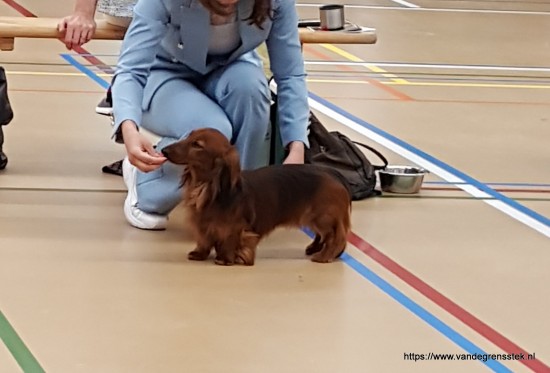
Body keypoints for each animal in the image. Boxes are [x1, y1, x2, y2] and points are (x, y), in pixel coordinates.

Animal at [163, 128, 354, 264]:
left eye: (197, 145)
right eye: (189, 136)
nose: (164, 150)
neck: (205, 187)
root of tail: (334, 173)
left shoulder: (235, 227)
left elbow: (230, 241)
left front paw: (225, 259)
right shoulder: (203, 222)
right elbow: (204, 239)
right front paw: (199, 253)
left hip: (323, 217)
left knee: (336, 237)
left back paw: (324, 256)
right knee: (323, 235)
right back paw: (315, 249)